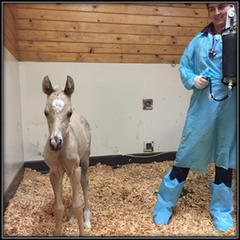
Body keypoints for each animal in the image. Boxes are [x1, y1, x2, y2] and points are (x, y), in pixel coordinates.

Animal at [42, 75, 91, 236]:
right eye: (45, 112)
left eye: (69, 112)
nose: (55, 143)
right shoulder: (54, 172)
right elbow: (58, 207)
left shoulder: (75, 169)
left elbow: (77, 204)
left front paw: (82, 232)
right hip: (65, 172)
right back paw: (72, 217)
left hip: (85, 160)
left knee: (84, 182)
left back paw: (87, 217)